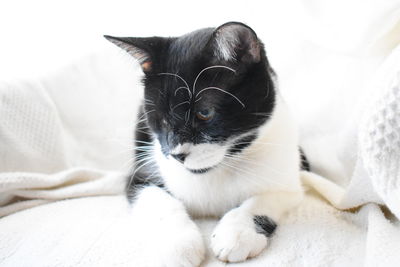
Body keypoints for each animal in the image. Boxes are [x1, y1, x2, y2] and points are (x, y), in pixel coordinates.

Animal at [105, 22, 306, 266]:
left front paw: (238, 233)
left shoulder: (287, 180)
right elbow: (161, 202)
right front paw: (179, 247)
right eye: (161, 119)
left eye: (205, 113)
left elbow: (263, 200)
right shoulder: (141, 173)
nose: (177, 155)